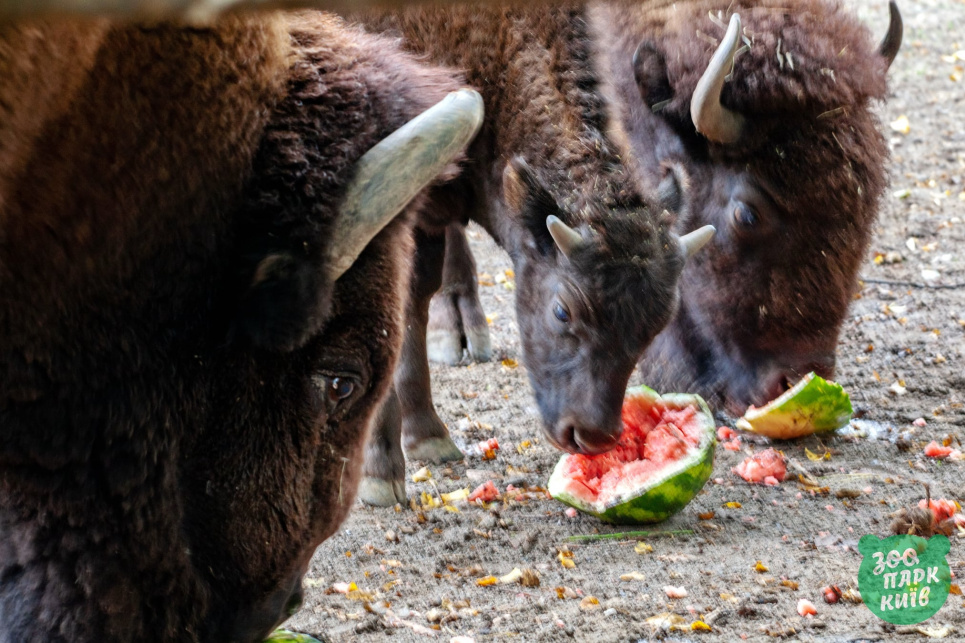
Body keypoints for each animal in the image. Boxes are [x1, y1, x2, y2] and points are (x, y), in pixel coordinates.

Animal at [350, 5, 712, 508]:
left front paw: (427, 437)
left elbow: (413, 303)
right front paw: (380, 474)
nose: (592, 436)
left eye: (657, 324)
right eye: (562, 310)